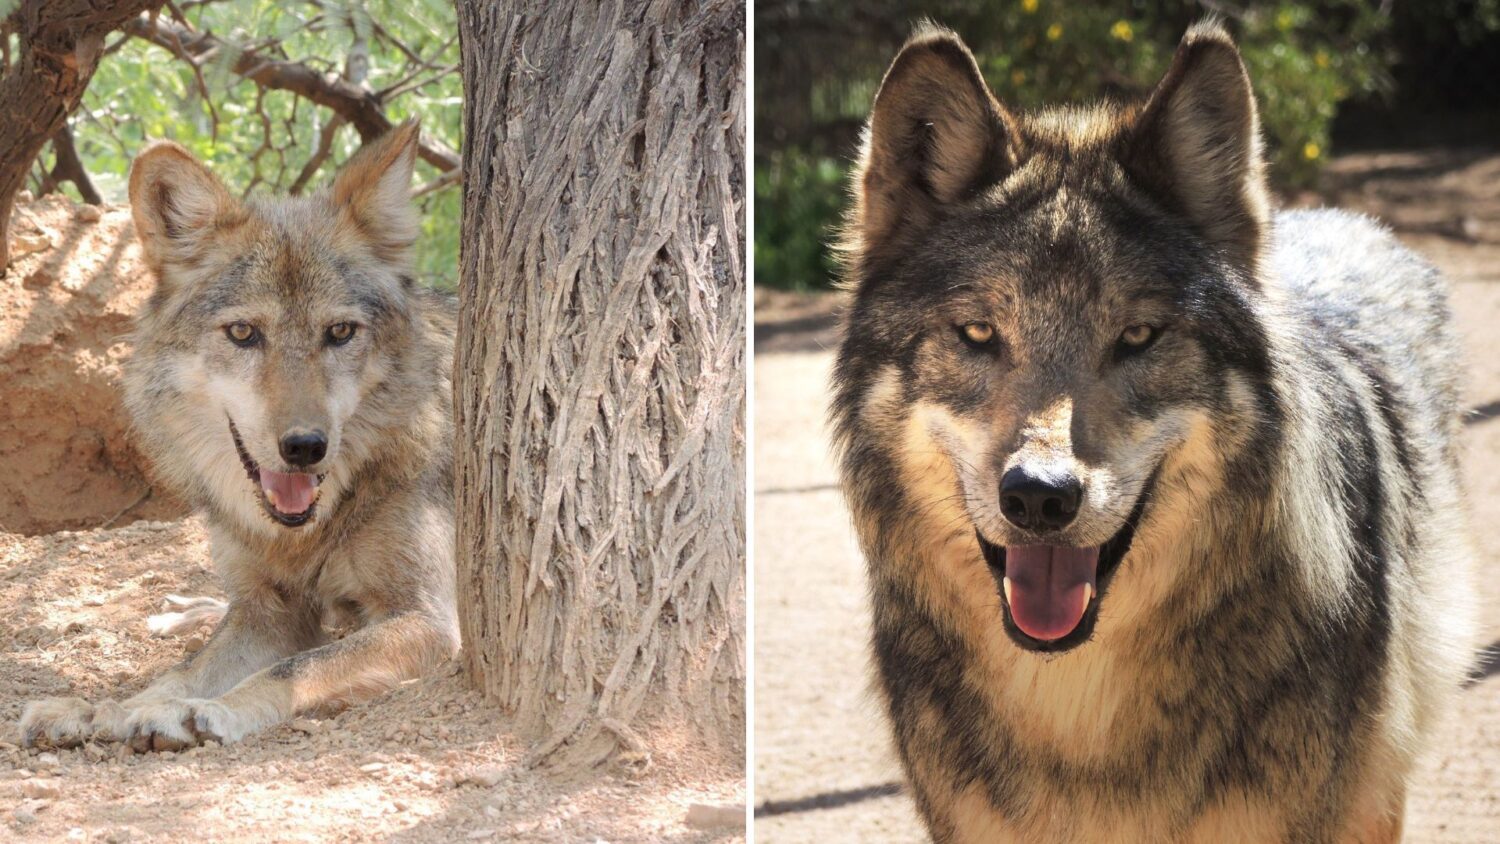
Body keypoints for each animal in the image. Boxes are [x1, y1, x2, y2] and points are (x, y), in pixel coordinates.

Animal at [20, 121, 460, 752]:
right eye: (244, 333)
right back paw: (177, 612)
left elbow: (296, 668)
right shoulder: (268, 613)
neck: (300, 535)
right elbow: (182, 671)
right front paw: (103, 709)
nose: (304, 447)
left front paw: (197, 713)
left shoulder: (427, 618)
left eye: (340, 332)